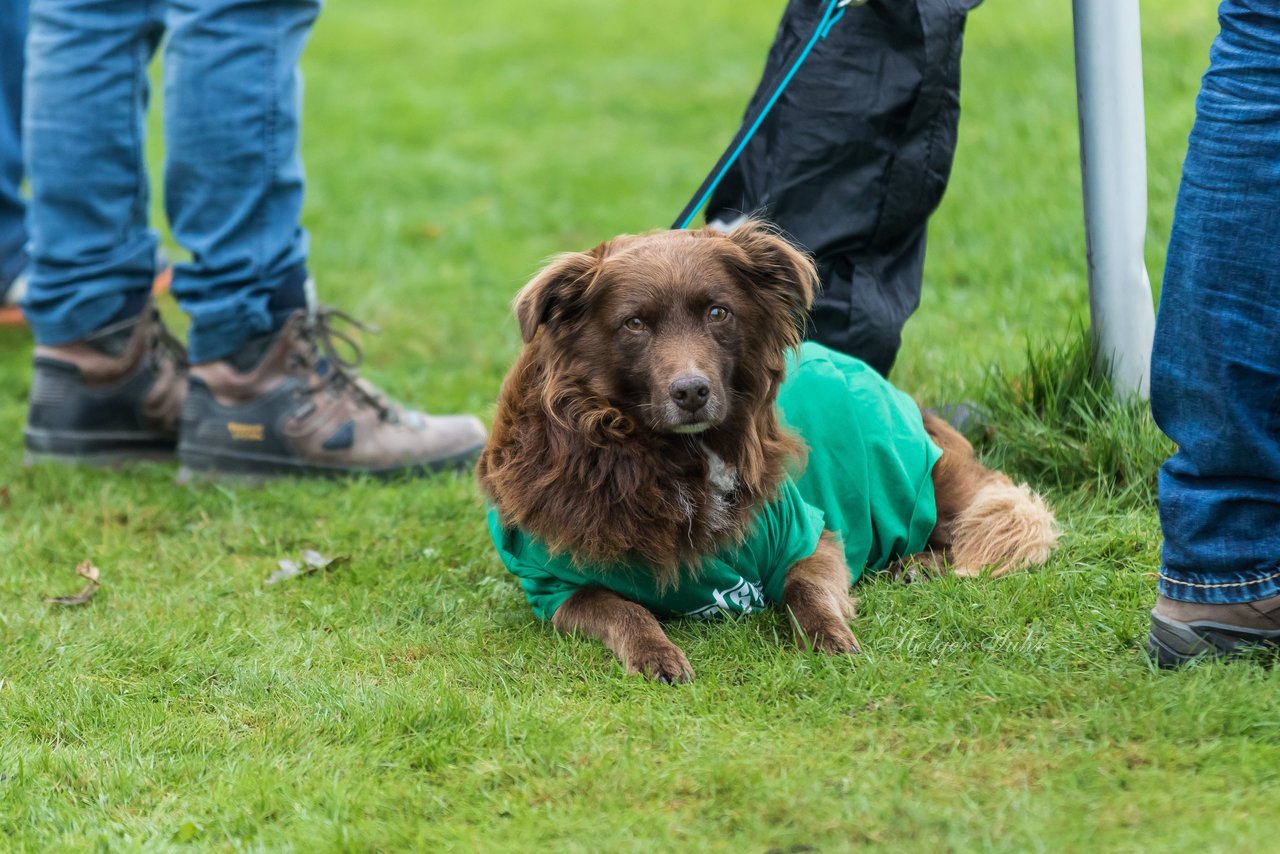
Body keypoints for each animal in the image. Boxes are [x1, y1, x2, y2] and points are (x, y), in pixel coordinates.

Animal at [476, 224, 1054, 686]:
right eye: (634, 324)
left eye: (717, 312)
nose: (692, 391)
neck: (673, 458)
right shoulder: (556, 587)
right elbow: (625, 612)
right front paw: (656, 654)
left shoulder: (809, 533)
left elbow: (806, 590)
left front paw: (828, 635)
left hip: (924, 478)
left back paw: (917, 566)